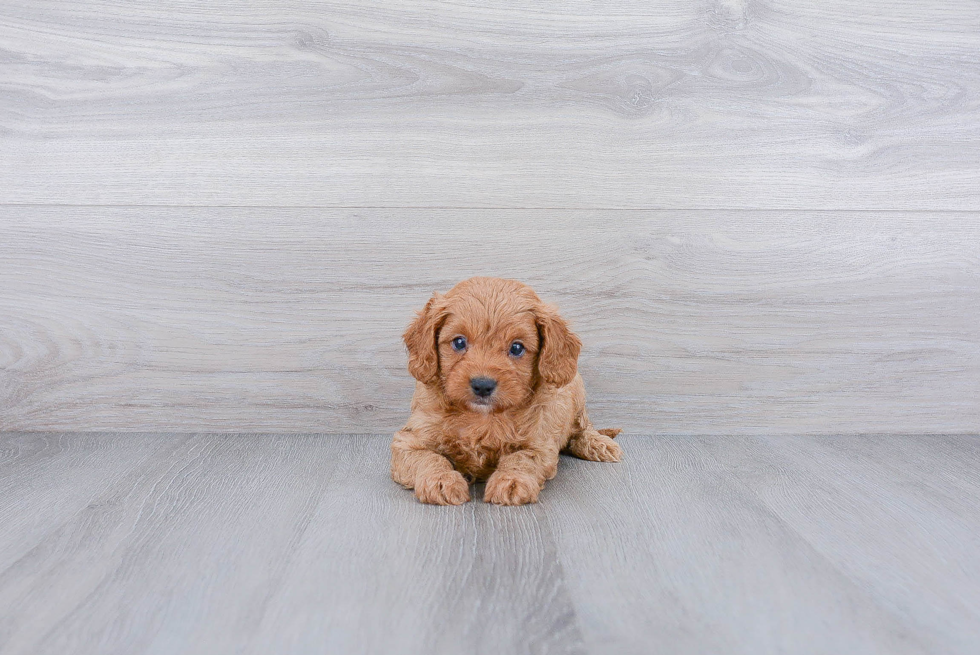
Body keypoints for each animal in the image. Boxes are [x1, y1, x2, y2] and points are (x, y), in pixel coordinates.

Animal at [390, 276, 620, 508]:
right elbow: (429, 458)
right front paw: (440, 480)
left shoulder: (539, 445)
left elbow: (521, 459)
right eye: (459, 342)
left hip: (576, 392)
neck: (482, 418)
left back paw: (599, 444)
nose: (482, 385)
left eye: (517, 348)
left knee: (582, 428)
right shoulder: (409, 440)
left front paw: (511, 481)